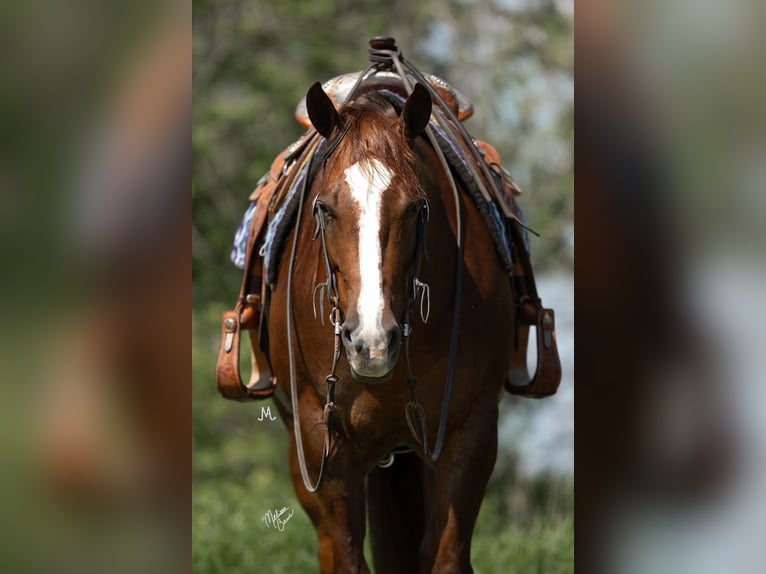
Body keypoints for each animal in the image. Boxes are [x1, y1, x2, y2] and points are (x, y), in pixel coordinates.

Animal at [268, 82, 520, 574]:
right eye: (324, 208)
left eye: (417, 207)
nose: (371, 342)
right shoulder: (320, 438)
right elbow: (346, 557)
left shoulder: (472, 432)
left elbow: (446, 556)